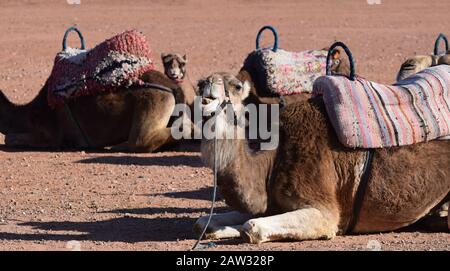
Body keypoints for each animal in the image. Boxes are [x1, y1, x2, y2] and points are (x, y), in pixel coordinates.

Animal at [193, 71, 450, 244]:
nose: (206, 83)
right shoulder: (271, 203)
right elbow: (204, 223)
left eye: (236, 86)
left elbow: (251, 227)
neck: (272, 163)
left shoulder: (324, 211)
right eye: (200, 83)